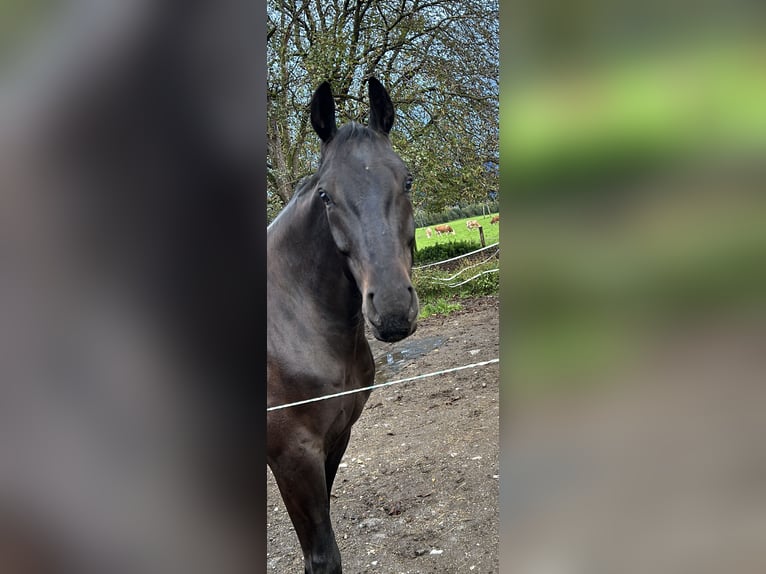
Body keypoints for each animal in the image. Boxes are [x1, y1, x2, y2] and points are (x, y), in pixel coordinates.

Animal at [268, 77, 416, 574]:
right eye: (326, 195)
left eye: (406, 179)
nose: (392, 309)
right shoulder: (293, 458)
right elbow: (323, 557)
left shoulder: (336, 439)